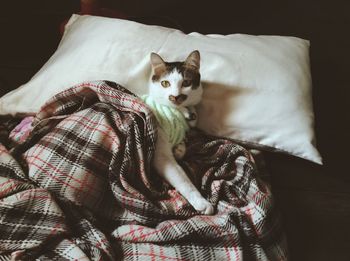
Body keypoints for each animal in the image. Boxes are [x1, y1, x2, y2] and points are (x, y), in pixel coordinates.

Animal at [142, 49, 213, 214]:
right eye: (165, 83)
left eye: (186, 83)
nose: (175, 96)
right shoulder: (161, 156)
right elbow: (182, 179)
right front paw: (201, 202)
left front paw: (180, 148)